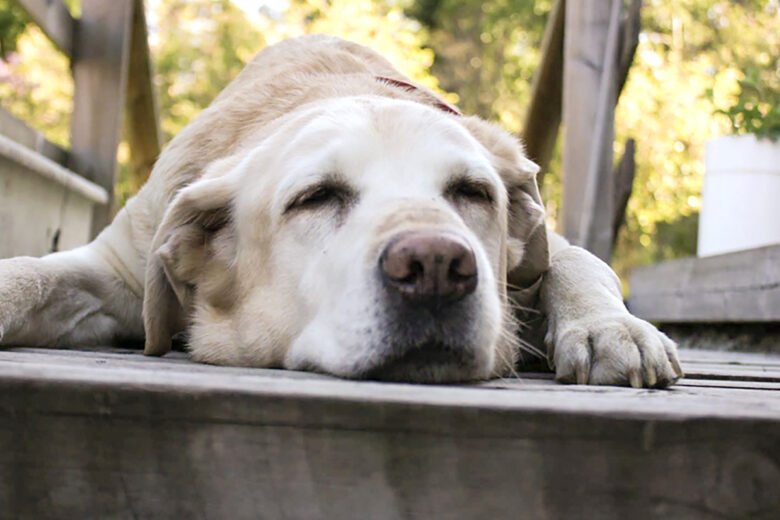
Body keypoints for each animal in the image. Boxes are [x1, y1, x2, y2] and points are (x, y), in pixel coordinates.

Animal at [0, 35, 684, 386]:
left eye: (473, 193)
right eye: (315, 197)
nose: (436, 267)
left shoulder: (546, 251)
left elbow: (578, 263)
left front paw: (610, 327)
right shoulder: (117, 267)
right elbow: (27, 275)